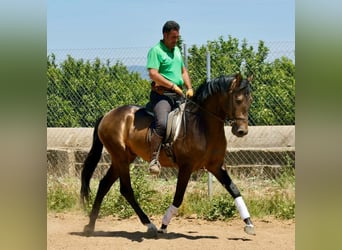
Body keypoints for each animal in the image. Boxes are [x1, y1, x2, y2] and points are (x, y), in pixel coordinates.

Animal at [80, 72, 255, 236]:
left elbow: (234, 190)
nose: (242, 131)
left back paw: (90, 226)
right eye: (238, 99)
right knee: (126, 189)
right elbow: (178, 197)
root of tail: (107, 115)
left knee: (104, 185)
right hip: (120, 157)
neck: (203, 126)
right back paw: (149, 225)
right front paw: (163, 226)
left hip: (124, 158)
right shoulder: (186, 167)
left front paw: (249, 224)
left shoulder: (216, 166)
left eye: (250, 100)